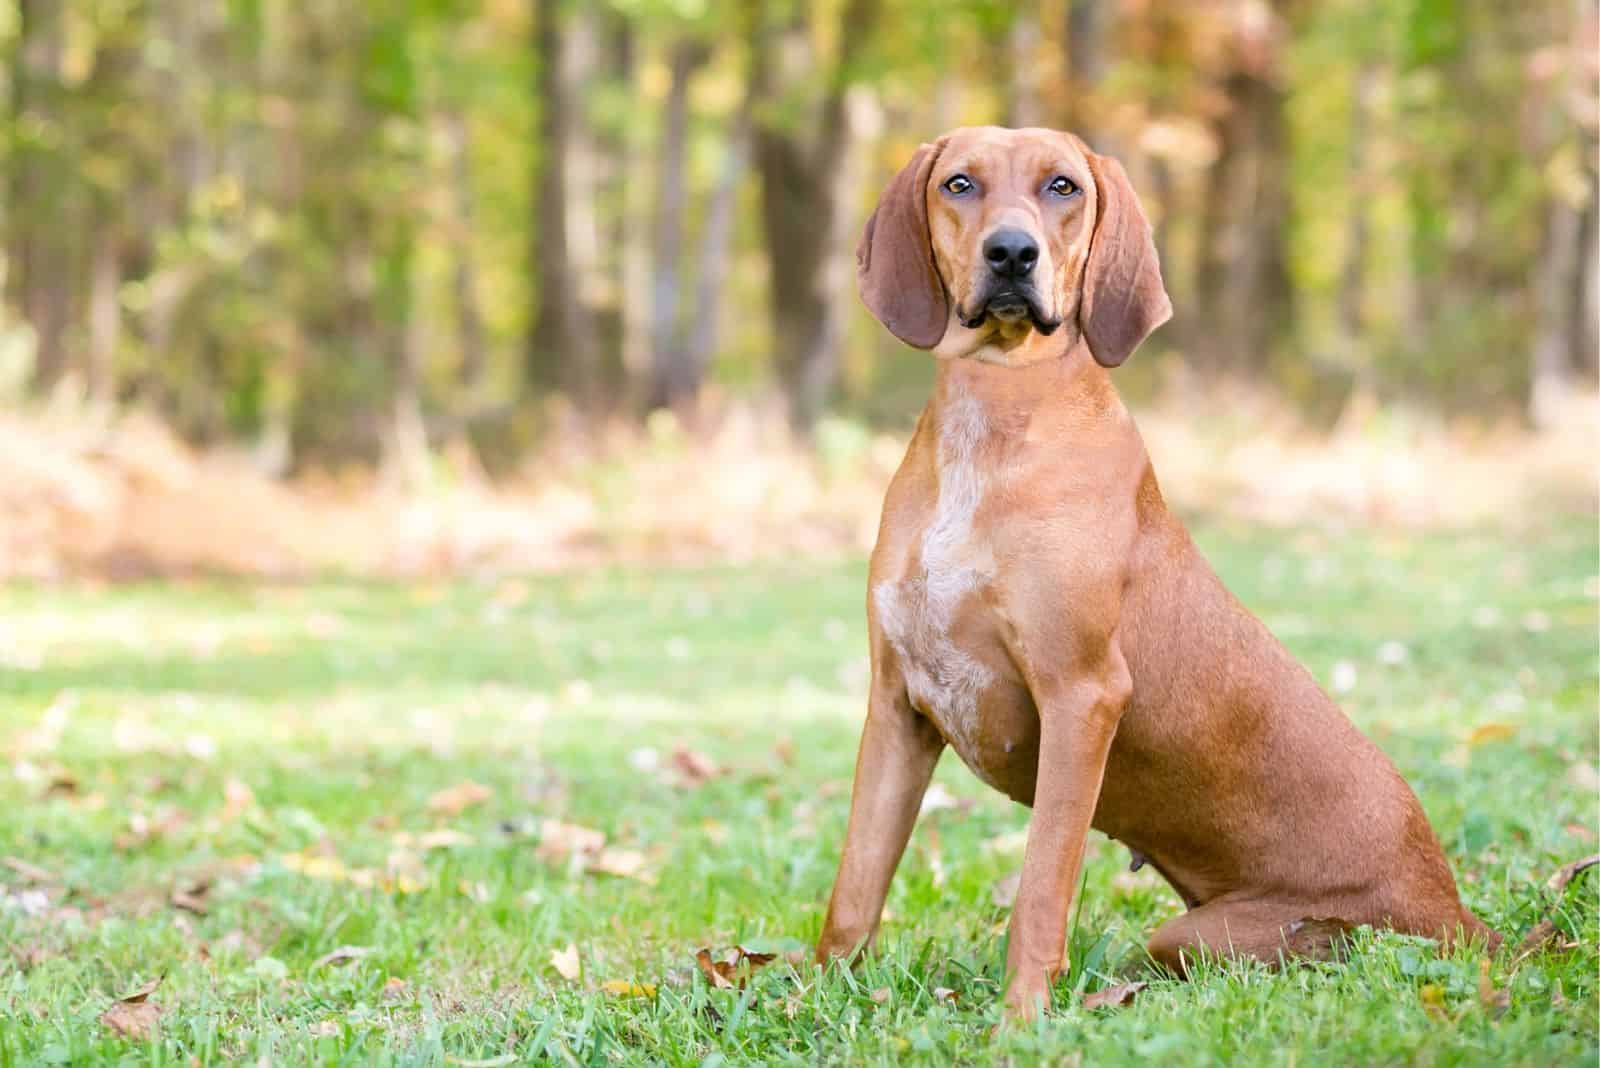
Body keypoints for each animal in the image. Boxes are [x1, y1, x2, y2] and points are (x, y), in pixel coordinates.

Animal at [819, 129, 1491, 1023]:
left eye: (1062, 186)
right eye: (959, 184)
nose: (1012, 253)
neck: (994, 415)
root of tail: (1457, 910)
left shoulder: (1081, 697)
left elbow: (1040, 890)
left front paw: (1021, 1021)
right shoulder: (899, 706)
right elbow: (854, 891)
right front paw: (807, 997)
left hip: (1207, 934)